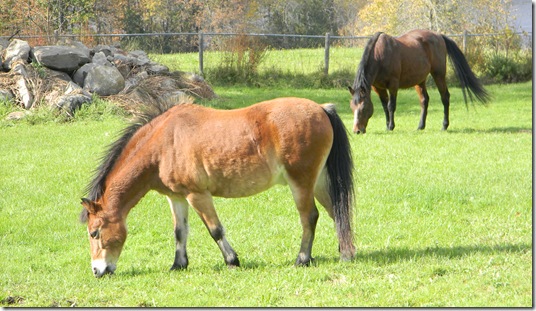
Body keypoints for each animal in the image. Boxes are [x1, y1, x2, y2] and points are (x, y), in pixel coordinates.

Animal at [79, 97, 356, 278]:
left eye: (94, 232)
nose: (97, 271)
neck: (164, 143)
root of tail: (321, 108)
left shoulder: (197, 195)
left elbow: (215, 230)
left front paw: (232, 261)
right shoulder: (176, 198)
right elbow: (180, 232)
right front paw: (178, 264)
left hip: (301, 184)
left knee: (310, 217)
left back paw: (302, 259)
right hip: (318, 182)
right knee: (336, 213)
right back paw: (346, 253)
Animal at [348, 27, 490, 133]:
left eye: (363, 108)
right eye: (352, 107)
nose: (357, 131)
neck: (380, 55)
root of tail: (439, 36)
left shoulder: (393, 85)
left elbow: (391, 105)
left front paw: (391, 126)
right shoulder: (378, 88)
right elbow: (384, 106)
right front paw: (387, 125)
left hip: (438, 75)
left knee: (445, 97)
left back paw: (444, 125)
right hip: (419, 81)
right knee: (424, 100)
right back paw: (421, 126)